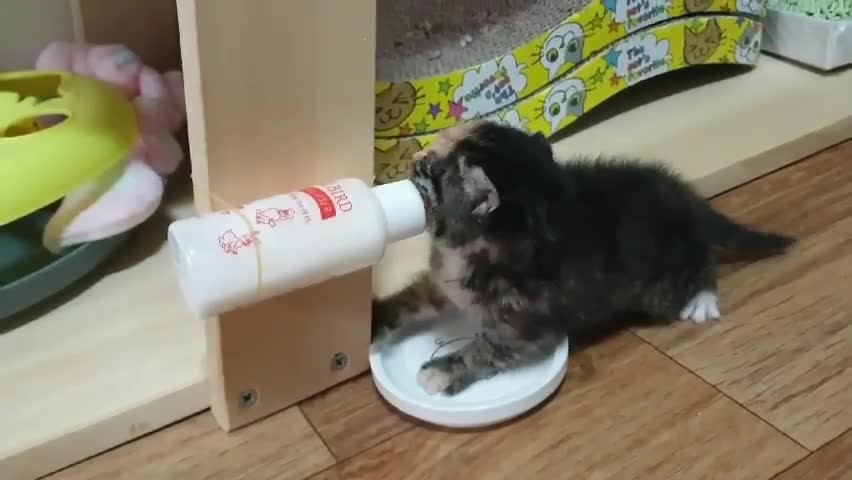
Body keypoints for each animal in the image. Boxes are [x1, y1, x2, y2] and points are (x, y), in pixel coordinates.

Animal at [374, 121, 800, 398]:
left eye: (430, 169)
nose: (413, 157)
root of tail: (683, 198)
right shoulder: (443, 283)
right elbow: (412, 298)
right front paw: (377, 317)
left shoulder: (525, 328)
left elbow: (486, 350)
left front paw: (443, 372)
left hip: (661, 283)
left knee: (699, 260)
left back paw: (702, 299)